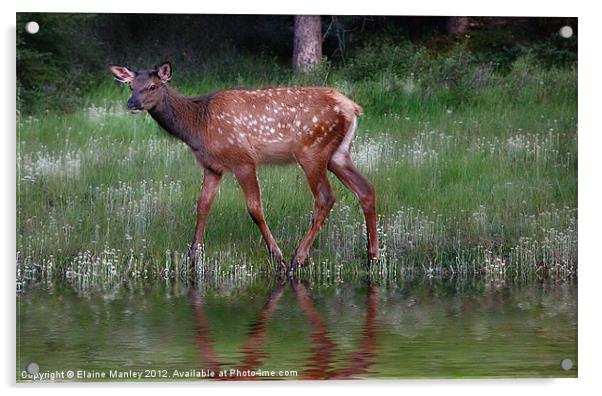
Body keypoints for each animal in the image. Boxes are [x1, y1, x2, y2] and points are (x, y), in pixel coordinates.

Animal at [108, 62, 378, 270]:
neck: (198, 126)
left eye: (152, 86)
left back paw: (297, 257)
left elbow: (254, 209)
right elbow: (202, 205)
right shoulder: (212, 166)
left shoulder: (243, 159)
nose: (131, 103)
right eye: (131, 86)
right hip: (338, 154)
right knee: (366, 189)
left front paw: (276, 255)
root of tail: (353, 108)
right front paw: (192, 255)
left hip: (313, 149)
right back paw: (372, 255)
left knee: (325, 197)